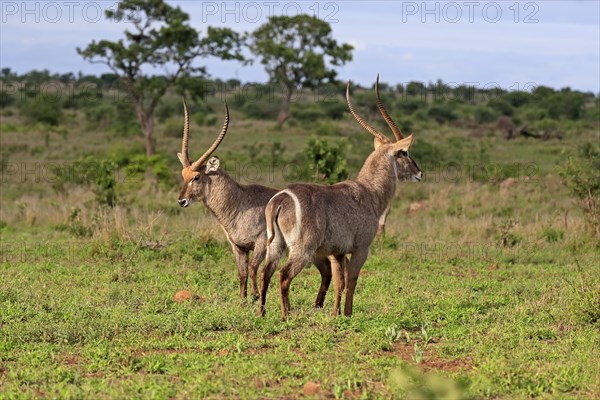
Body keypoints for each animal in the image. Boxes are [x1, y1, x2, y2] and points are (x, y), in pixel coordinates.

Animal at [260, 80, 424, 318]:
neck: (369, 191)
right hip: (302, 249)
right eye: (404, 152)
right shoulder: (361, 248)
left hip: (276, 244)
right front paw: (347, 314)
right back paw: (285, 316)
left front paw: (336, 313)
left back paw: (261, 314)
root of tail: (281, 198)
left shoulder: (337, 253)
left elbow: (339, 281)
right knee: (284, 275)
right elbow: (353, 280)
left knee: (265, 273)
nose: (420, 173)